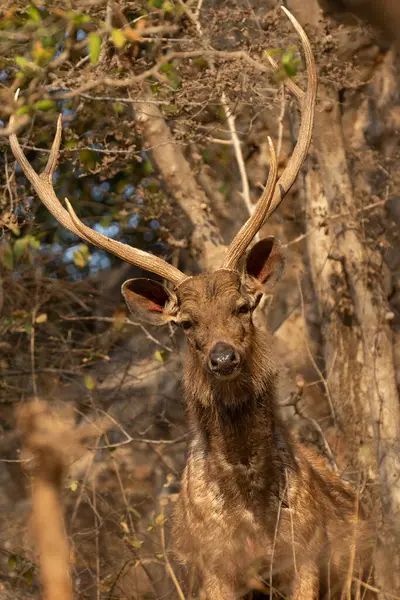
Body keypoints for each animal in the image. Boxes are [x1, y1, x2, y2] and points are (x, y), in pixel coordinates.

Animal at [8, 5, 372, 600]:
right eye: (184, 324)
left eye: (246, 306)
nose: (222, 358)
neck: (249, 511)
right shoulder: (209, 571)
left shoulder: (307, 563)